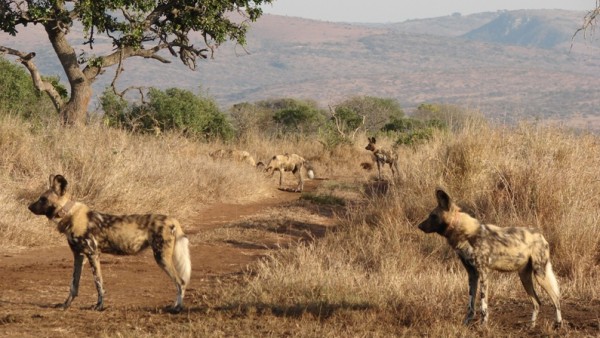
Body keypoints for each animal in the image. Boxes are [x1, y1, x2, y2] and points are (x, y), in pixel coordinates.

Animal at [28, 176, 191, 312]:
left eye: (43, 199)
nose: (29, 206)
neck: (69, 215)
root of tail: (171, 219)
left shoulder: (93, 254)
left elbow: (99, 283)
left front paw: (99, 306)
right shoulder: (79, 255)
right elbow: (74, 285)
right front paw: (65, 305)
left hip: (161, 258)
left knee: (181, 282)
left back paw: (177, 308)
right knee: (180, 282)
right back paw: (174, 306)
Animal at [418, 187, 564, 328]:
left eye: (433, 216)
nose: (419, 226)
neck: (465, 233)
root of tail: (541, 235)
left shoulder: (483, 273)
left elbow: (483, 304)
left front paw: (483, 325)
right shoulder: (472, 274)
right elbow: (470, 304)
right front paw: (466, 323)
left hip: (540, 274)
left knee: (556, 299)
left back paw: (558, 324)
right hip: (524, 277)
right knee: (537, 302)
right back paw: (531, 326)